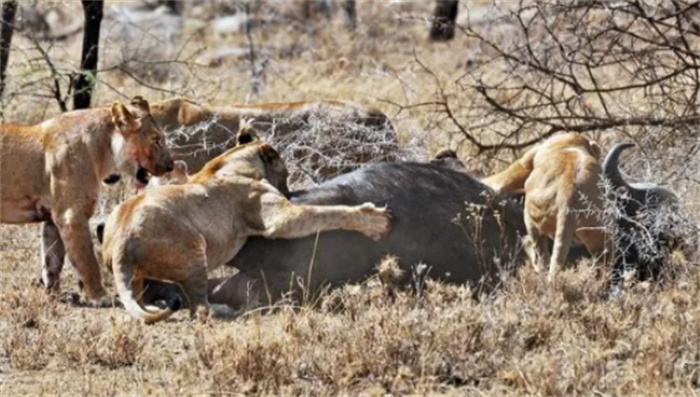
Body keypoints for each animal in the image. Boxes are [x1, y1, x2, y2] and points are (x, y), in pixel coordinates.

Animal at [0, 96, 174, 304]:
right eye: (156, 140)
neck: (102, 151)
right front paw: (101, 297)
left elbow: (52, 260)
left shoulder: (52, 218)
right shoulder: (71, 215)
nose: (171, 166)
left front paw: (55, 295)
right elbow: (87, 261)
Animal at [100, 127, 392, 322]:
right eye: (286, 173)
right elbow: (327, 212)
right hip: (194, 249)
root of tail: (121, 245)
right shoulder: (280, 219)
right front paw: (373, 219)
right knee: (199, 307)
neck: (232, 160)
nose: (288, 192)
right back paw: (221, 310)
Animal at [482, 133, 612, 282]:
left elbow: (503, 180)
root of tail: (568, 197)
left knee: (541, 254)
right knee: (604, 257)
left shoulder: (526, 161)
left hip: (533, 214)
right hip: (596, 227)